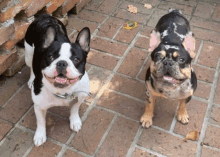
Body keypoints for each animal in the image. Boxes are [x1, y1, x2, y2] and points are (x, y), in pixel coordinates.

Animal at [25, 14, 90, 146]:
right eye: (50, 57)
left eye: (76, 59)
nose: (62, 63)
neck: (62, 91)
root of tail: (45, 16)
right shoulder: (39, 106)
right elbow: (40, 122)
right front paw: (40, 135)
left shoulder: (79, 97)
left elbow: (75, 109)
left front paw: (75, 121)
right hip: (28, 54)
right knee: (31, 67)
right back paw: (31, 80)